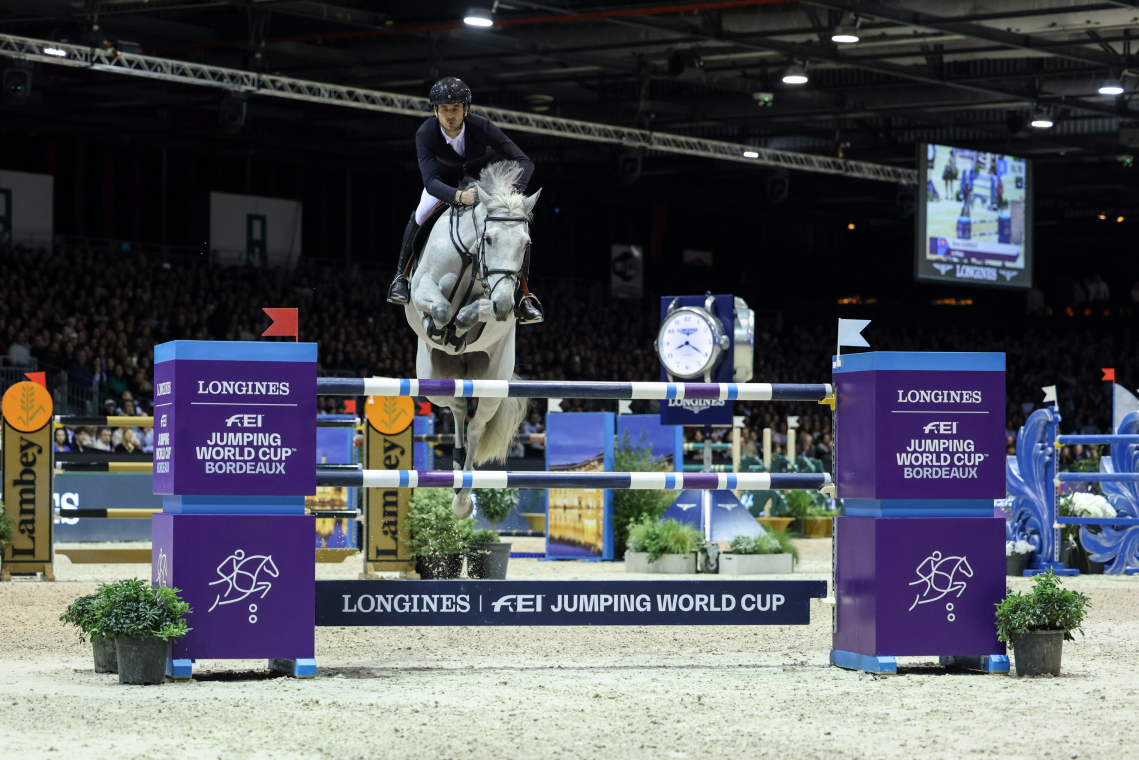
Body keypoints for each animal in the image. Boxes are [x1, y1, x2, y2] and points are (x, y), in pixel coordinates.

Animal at [405, 160, 537, 517]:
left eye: (525, 245)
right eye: (488, 239)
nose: (504, 305)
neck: (469, 254)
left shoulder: (498, 303)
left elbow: (473, 311)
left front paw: (459, 327)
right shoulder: (421, 289)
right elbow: (439, 306)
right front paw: (439, 327)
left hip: (491, 381)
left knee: (475, 423)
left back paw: (463, 495)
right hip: (434, 379)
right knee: (457, 406)